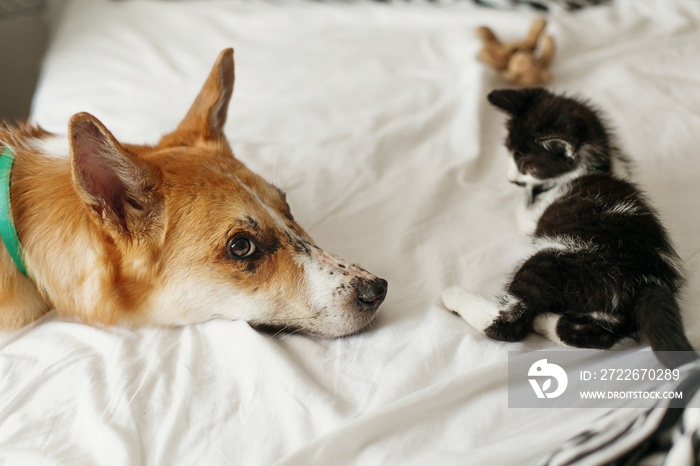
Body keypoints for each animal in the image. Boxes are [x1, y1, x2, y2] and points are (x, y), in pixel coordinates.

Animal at [442, 88, 696, 368]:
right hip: (604, 306)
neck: (598, 165)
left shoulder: (537, 215)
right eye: (509, 151)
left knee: (512, 320)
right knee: (596, 334)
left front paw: (525, 194)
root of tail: (644, 283)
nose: (511, 179)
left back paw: (456, 297)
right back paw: (545, 322)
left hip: (555, 259)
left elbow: (525, 214)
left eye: (527, 165)